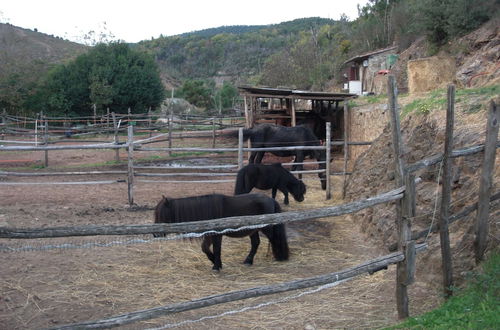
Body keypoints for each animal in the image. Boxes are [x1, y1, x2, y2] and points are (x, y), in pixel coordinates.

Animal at [153, 193, 290, 270]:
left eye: (161, 214)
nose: (155, 234)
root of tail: (271, 200)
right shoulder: (209, 235)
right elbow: (205, 248)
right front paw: (215, 261)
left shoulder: (217, 235)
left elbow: (217, 249)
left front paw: (216, 265)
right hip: (252, 230)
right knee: (256, 243)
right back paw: (248, 261)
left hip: (266, 228)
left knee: (274, 239)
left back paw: (280, 256)